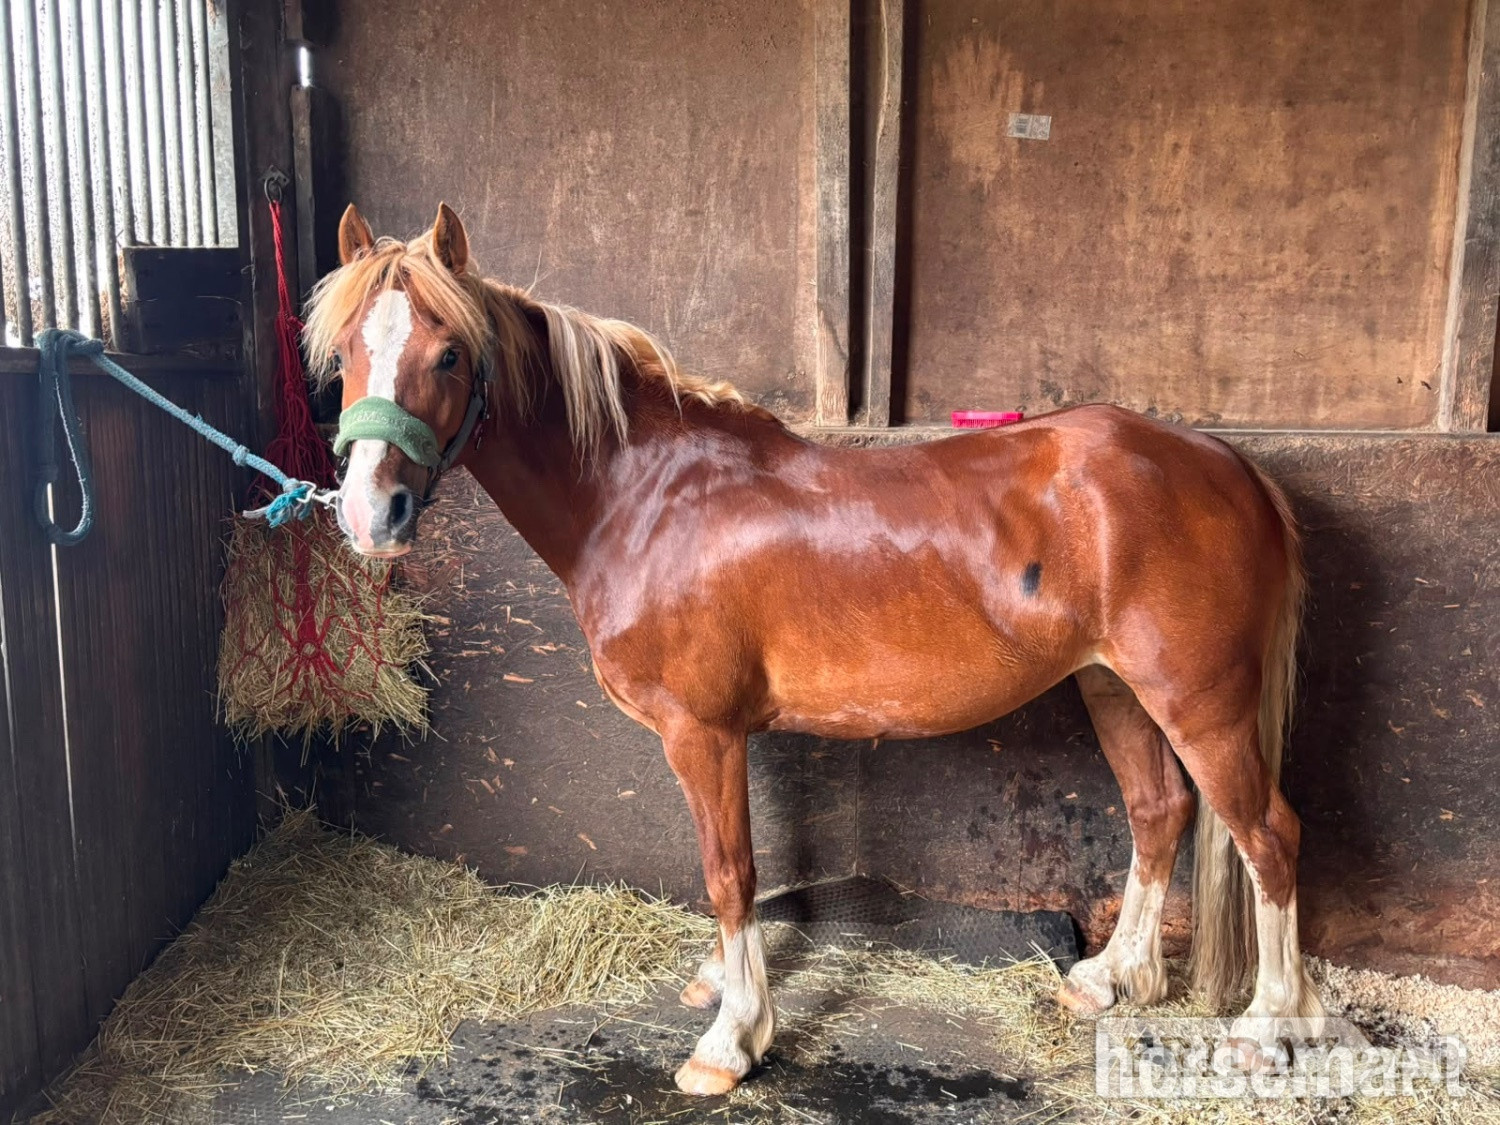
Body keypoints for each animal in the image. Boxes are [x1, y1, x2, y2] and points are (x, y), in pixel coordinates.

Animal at [306, 202, 1325, 1095]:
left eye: (449, 352)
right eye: (346, 353)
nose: (369, 514)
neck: (646, 496)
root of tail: (1227, 463)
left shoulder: (703, 732)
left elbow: (730, 873)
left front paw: (731, 1040)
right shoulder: (724, 737)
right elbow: (732, 869)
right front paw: (721, 987)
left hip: (1199, 699)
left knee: (1268, 834)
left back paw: (1270, 1026)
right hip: (1113, 686)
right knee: (1160, 811)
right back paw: (1111, 977)